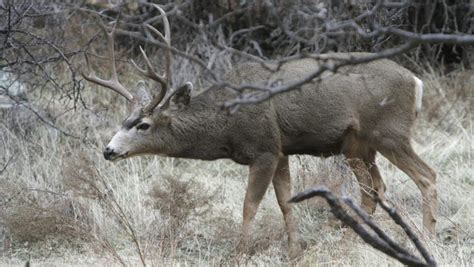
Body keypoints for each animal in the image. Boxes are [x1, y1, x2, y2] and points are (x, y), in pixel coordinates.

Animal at [82, 4, 436, 260]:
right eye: (123, 120)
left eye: (143, 125)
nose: (108, 150)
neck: (226, 124)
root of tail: (416, 82)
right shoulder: (281, 150)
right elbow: (286, 202)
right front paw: (295, 252)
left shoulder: (264, 148)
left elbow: (249, 205)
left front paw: (239, 254)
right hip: (358, 145)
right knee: (375, 188)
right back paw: (362, 238)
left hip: (389, 132)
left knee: (425, 176)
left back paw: (423, 236)